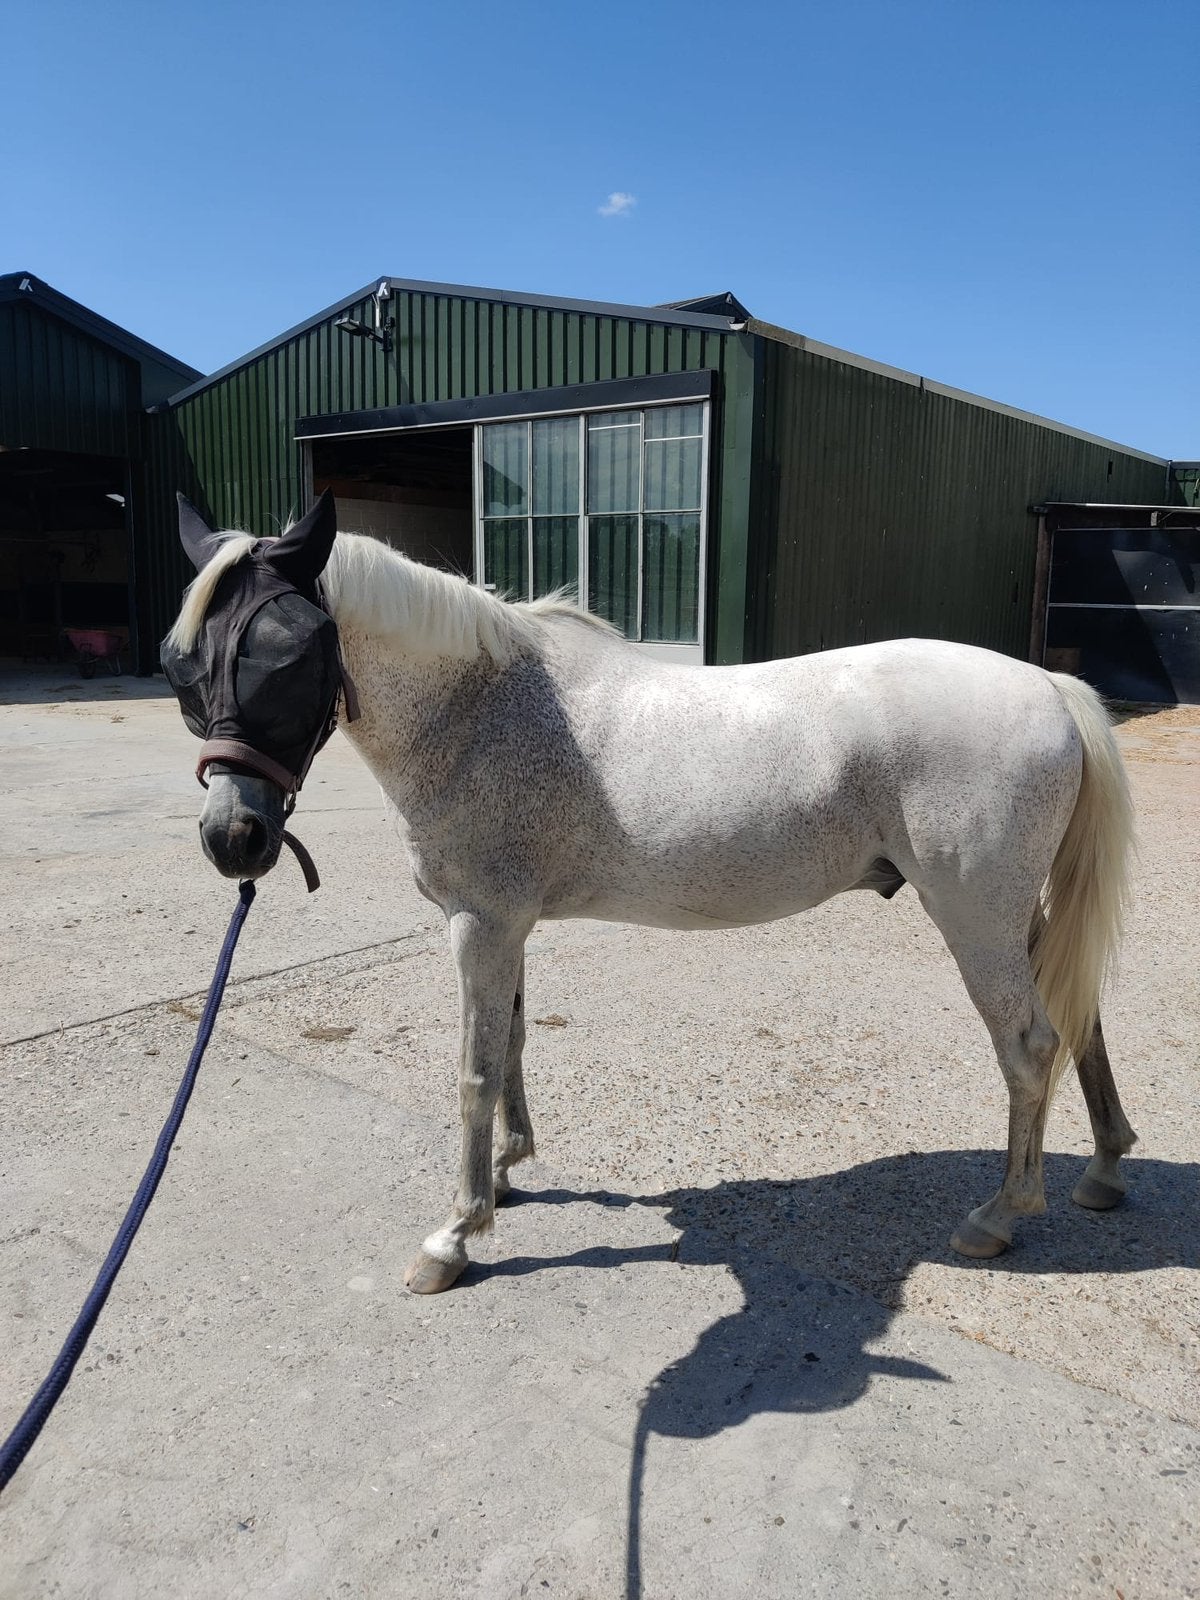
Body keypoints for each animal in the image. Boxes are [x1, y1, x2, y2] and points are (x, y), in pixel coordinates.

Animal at [162, 491, 1138, 1294]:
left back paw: (1000, 1217)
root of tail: (1046, 683)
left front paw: (456, 1235)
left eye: (290, 653)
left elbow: (475, 1067)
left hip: (976, 917)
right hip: (1019, 914)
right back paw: (1104, 1170)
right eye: (182, 665)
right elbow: (512, 1042)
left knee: (1029, 1047)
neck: (481, 706)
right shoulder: (510, 927)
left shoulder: (479, 925)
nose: (233, 839)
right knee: (1080, 1018)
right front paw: (509, 1172)